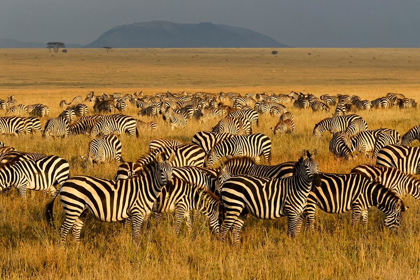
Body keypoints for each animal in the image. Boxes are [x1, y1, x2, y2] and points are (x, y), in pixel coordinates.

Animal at [46, 152, 175, 244]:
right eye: (161, 170)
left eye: (172, 170)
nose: (170, 184)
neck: (145, 188)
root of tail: (65, 182)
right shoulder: (137, 212)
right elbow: (136, 234)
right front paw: (136, 250)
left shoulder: (145, 215)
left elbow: (142, 232)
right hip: (73, 207)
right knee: (63, 229)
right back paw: (63, 249)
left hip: (81, 210)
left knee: (76, 229)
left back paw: (78, 249)